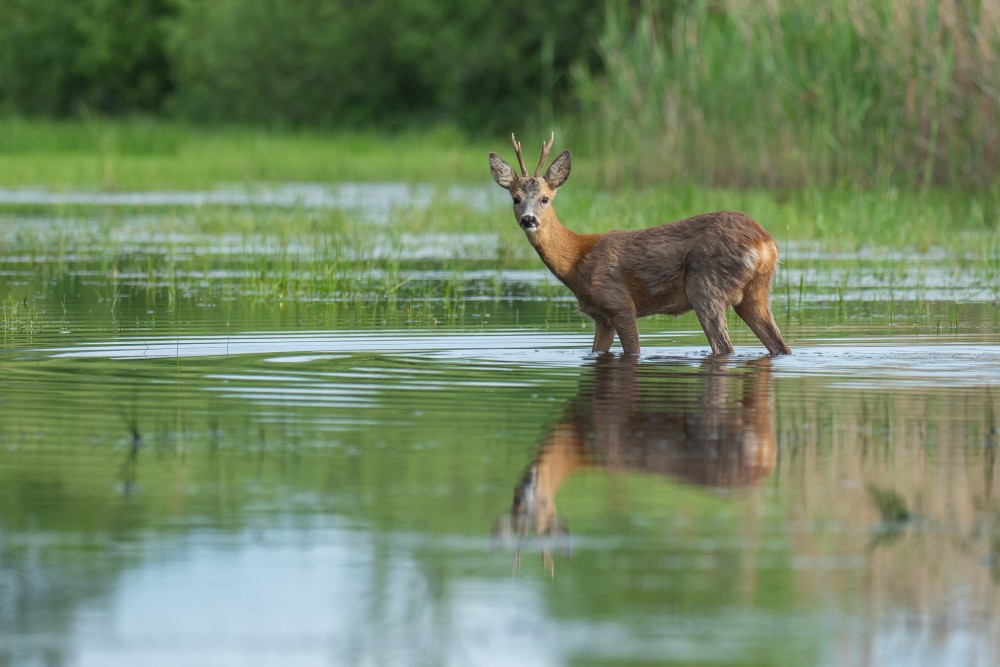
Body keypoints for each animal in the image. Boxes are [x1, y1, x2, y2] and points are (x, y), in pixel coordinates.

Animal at [488, 132, 792, 358]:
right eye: (515, 198)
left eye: (545, 198)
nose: (528, 220)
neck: (578, 259)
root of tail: (765, 242)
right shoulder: (600, 316)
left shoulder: (619, 303)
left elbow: (633, 350)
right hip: (756, 293)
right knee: (780, 346)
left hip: (706, 285)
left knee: (724, 347)